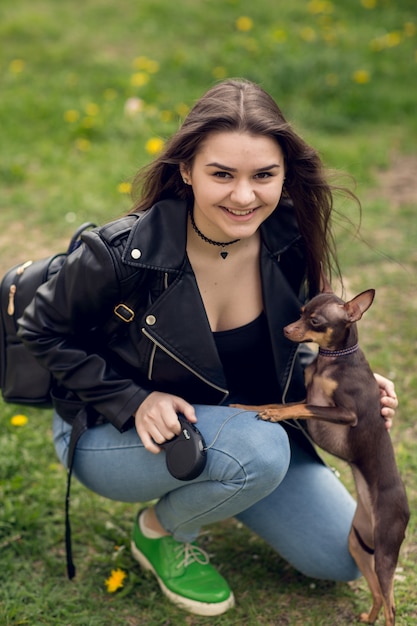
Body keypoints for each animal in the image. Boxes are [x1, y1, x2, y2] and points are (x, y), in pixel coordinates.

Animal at [232, 280, 408, 624]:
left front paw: (271, 415)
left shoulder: (344, 413)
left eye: (315, 322)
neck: (332, 359)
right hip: (357, 544)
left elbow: (299, 407)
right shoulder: (306, 394)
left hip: (385, 552)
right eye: (300, 312)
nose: (285, 329)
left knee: (391, 603)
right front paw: (248, 407)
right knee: (377, 593)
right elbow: (277, 402)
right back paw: (367, 618)